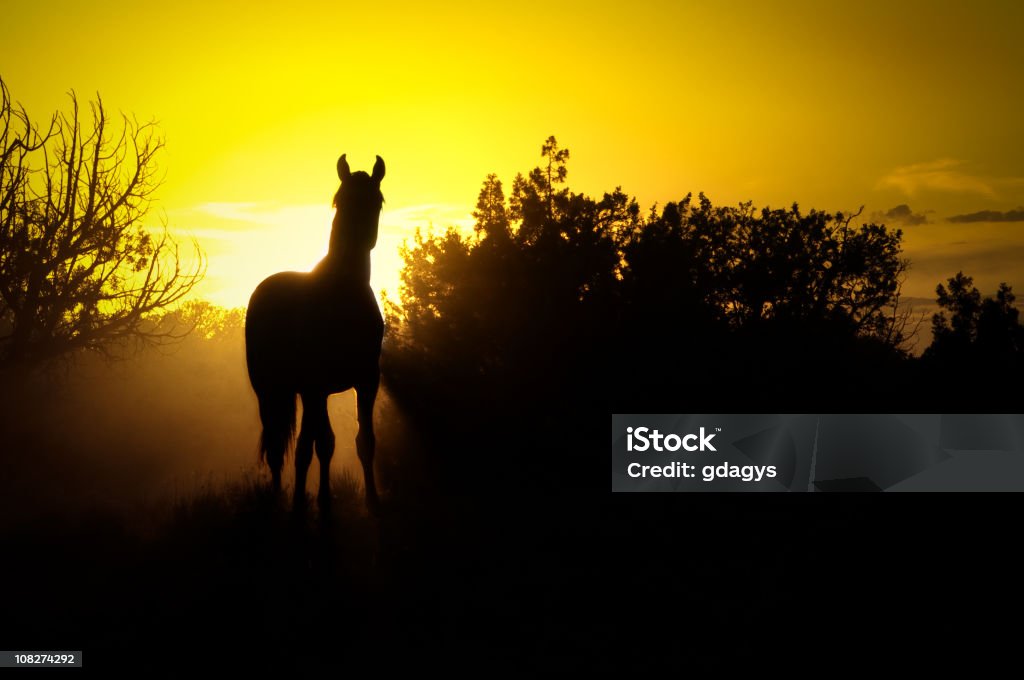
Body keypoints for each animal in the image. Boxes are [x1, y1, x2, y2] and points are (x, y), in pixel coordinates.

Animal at [245, 153, 385, 512]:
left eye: (376, 200)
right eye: (339, 201)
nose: (354, 241)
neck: (342, 299)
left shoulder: (366, 380)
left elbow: (362, 441)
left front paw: (371, 502)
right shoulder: (315, 386)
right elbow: (318, 444)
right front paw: (311, 505)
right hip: (271, 390)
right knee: (280, 445)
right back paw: (281, 500)